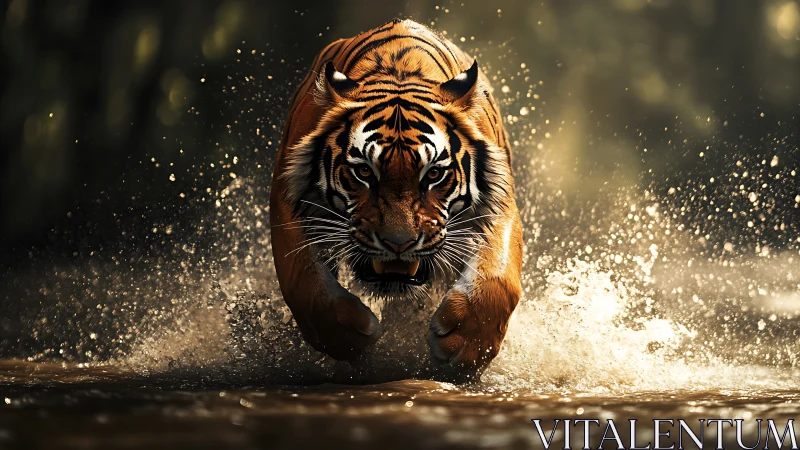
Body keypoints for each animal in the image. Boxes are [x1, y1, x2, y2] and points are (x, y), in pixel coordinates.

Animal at [269, 18, 522, 378]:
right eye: (363, 171)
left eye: (433, 174)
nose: (399, 244)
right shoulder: (286, 198)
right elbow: (301, 279)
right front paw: (351, 337)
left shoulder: (500, 204)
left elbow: (498, 278)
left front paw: (466, 346)